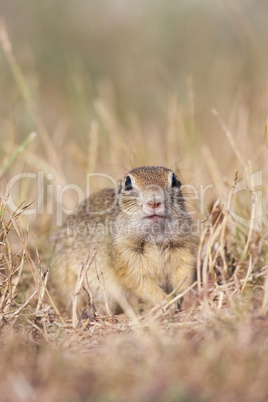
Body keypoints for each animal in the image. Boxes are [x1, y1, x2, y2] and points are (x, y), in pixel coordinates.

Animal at [51, 166, 197, 314]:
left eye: (174, 180)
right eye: (128, 183)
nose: (154, 202)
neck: (154, 236)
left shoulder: (182, 248)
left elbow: (184, 273)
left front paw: (186, 295)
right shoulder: (124, 255)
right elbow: (139, 282)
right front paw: (166, 302)